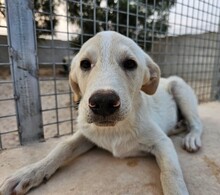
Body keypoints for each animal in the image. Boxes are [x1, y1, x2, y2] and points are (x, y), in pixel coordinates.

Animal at [0, 31, 203, 194]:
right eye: (84, 64)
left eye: (130, 64)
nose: (103, 102)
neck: (115, 129)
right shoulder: (86, 132)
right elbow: (63, 147)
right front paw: (30, 172)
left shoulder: (162, 142)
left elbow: (171, 174)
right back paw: (178, 126)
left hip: (179, 87)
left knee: (197, 123)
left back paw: (191, 137)